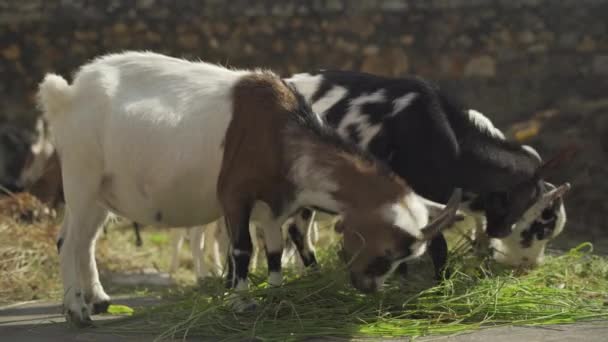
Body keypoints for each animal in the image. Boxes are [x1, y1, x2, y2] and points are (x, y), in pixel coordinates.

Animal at [36, 51, 460, 326]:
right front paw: (242, 302)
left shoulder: (274, 204)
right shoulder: (235, 195)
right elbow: (242, 249)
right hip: (82, 176)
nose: (367, 286)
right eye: (387, 250)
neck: (281, 133)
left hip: (100, 191)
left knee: (83, 240)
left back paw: (99, 300)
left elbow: (273, 250)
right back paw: (77, 311)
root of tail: (66, 93)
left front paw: (276, 294)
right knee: (70, 243)